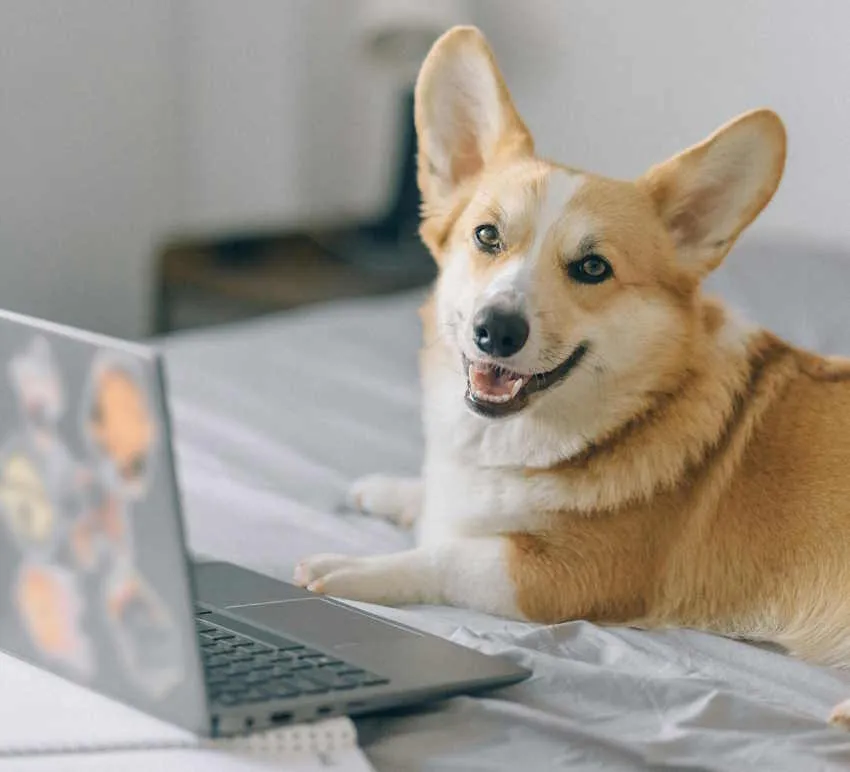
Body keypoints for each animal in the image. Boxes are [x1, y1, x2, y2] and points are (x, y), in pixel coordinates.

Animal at [294, 24, 848, 724]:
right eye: (486, 236)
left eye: (592, 268)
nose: (496, 330)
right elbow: (436, 503)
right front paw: (389, 491)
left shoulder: (561, 576)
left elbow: (447, 553)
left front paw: (351, 568)